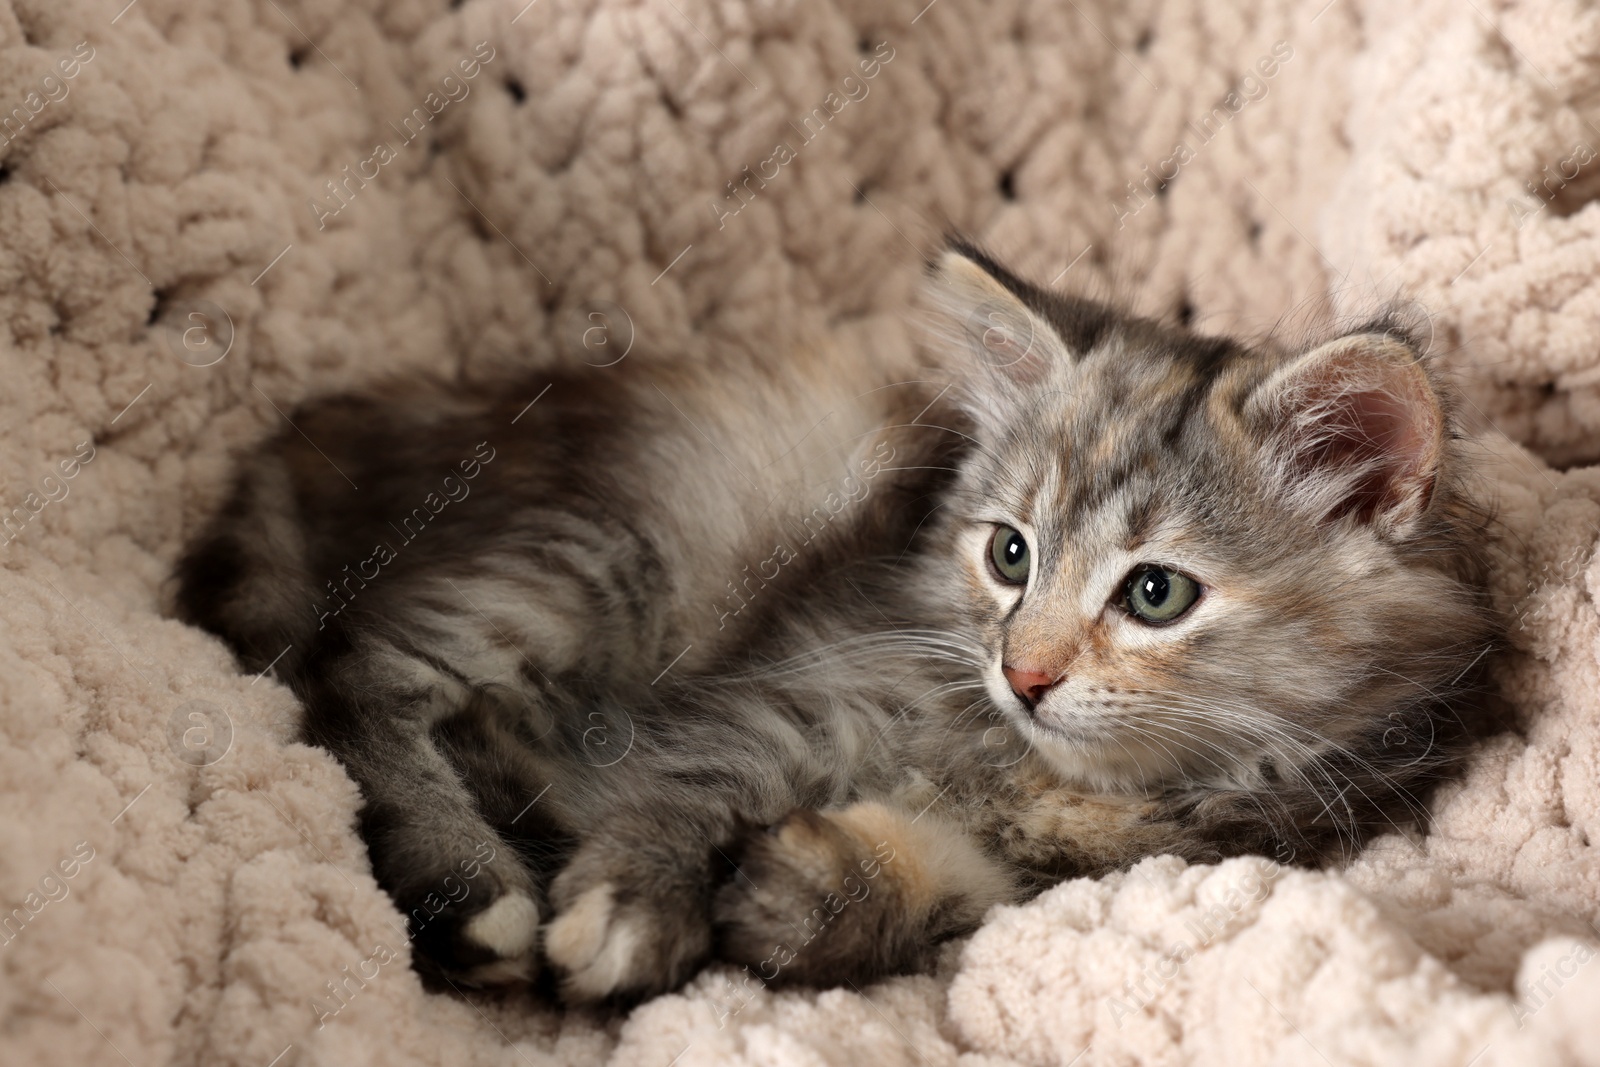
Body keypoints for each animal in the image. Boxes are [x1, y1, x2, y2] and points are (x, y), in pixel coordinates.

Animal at [175, 241, 1497, 1004]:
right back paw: (469, 879)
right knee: (358, 678)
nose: (1021, 672)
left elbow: (938, 883)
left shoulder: (1086, 868)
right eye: (1008, 554)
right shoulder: (778, 690)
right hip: (612, 543)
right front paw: (638, 904)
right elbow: (672, 789)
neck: (1028, 769)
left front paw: (802, 893)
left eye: (1154, 592)